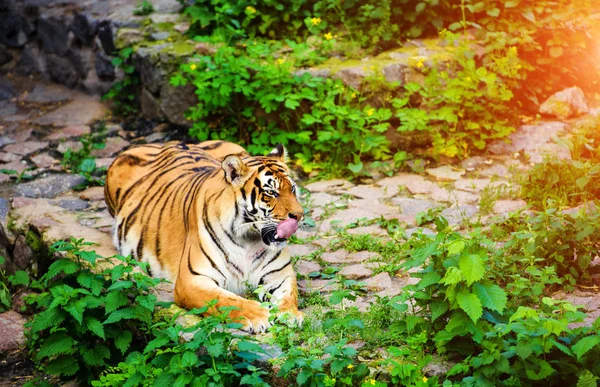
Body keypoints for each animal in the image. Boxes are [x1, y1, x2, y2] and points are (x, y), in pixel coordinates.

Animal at [103, 140, 304, 334]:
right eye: (271, 192)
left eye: (293, 189)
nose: (299, 215)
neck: (249, 238)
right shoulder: (192, 281)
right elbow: (226, 300)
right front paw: (258, 314)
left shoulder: (281, 274)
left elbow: (289, 295)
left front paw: (291, 314)